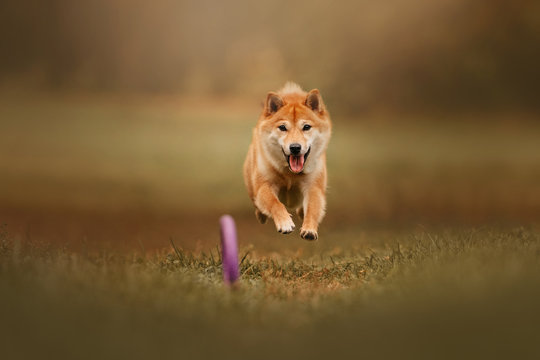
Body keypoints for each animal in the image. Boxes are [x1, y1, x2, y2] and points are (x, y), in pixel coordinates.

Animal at [244, 83, 330, 240]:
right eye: (282, 127)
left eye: (306, 127)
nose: (295, 147)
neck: (290, 174)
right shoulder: (265, 184)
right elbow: (275, 203)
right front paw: (285, 223)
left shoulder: (314, 186)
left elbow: (313, 208)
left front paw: (309, 229)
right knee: (258, 205)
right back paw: (261, 215)